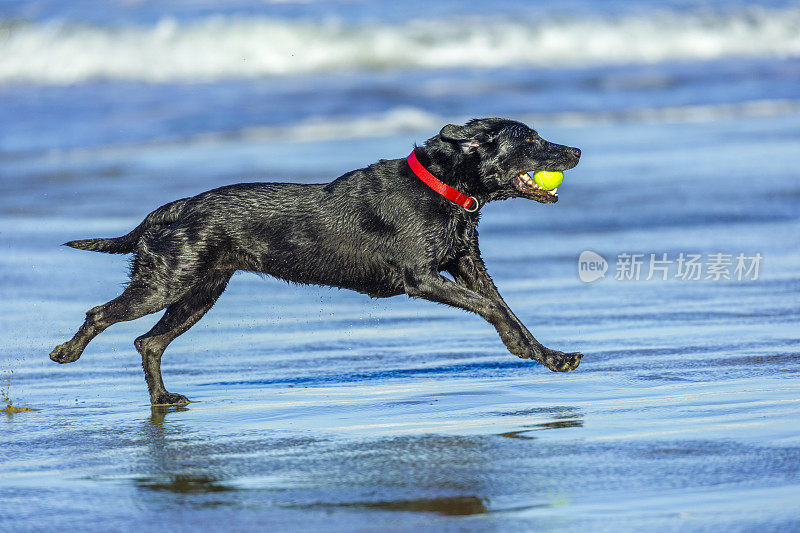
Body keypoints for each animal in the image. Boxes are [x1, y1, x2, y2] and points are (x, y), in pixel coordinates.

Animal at [50, 117, 580, 404]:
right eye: (530, 140)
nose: (575, 149)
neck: (443, 186)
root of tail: (173, 209)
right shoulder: (422, 277)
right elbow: (490, 308)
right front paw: (520, 347)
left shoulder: (467, 264)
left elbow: (507, 309)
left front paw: (548, 356)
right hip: (168, 282)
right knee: (102, 314)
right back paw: (66, 353)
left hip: (201, 292)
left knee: (148, 342)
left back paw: (162, 399)